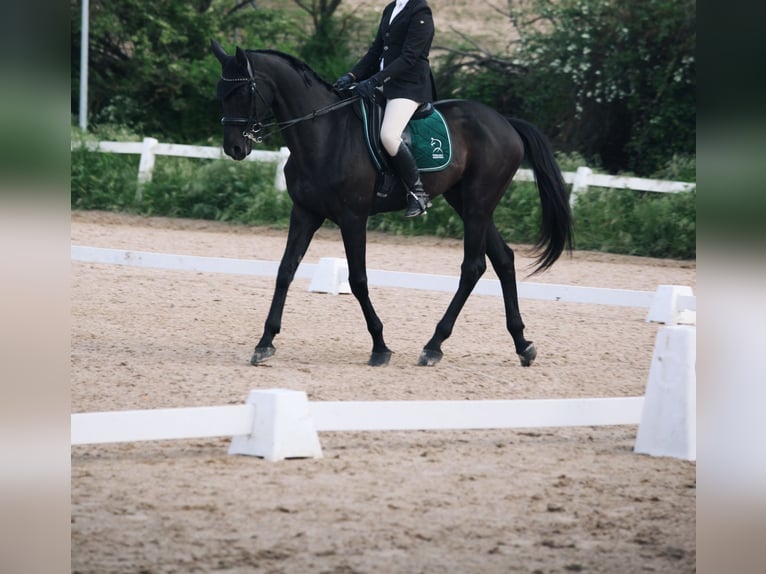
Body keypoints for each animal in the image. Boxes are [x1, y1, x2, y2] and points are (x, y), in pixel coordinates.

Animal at [211, 40, 573, 368]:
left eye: (242, 91)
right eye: (220, 92)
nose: (234, 148)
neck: (324, 135)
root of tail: (506, 122)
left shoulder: (353, 217)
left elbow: (358, 280)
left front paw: (380, 347)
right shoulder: (304, 213)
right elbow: (285, 271)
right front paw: (264, 343)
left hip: (477, 204)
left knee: (473, 267)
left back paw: (434, 346)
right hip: (467, 202)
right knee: (503, 260)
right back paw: (522, 344)